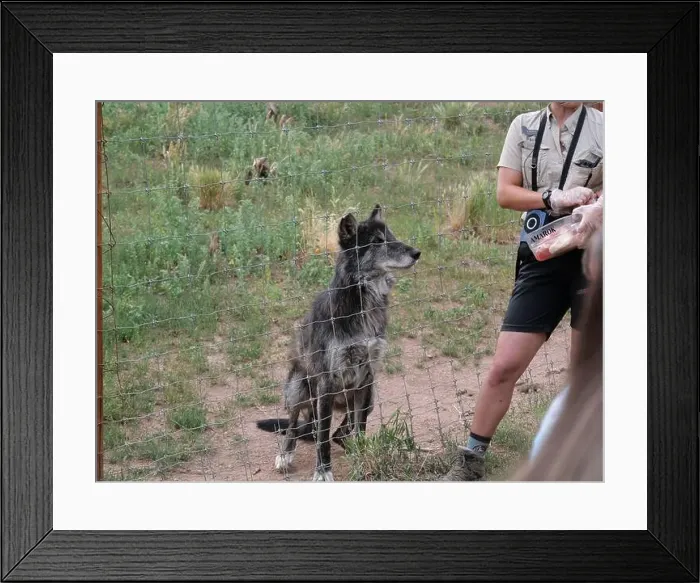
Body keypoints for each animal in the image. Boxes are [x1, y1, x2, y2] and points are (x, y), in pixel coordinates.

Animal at [255, 204, 421, 481]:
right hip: (298, 389)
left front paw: (364, 457)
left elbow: (359, 427)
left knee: (341, 431)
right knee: (297, 426)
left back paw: (351, 447)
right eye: (377, 241)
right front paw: (323, 473)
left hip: (370, 396)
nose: (417, 253)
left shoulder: (366, 377)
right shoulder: (327, 382)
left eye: (392, 236)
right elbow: (322, 438)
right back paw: (286, 454)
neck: (364, 301)